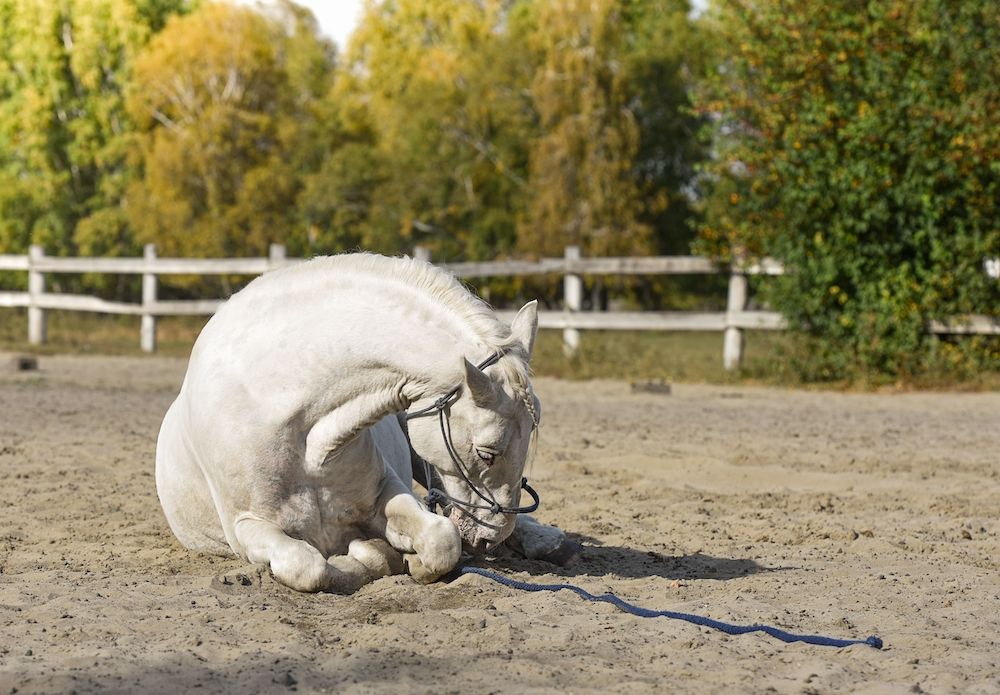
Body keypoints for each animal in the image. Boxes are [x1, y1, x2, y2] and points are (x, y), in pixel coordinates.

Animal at [152, 254, 568, 592]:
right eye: (486, 453)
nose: (488, 540)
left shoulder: (386, 492)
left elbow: (441, 540)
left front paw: (403, 556)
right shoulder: (247, 528)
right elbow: (310, 566)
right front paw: (373, 555)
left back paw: (546, 540)